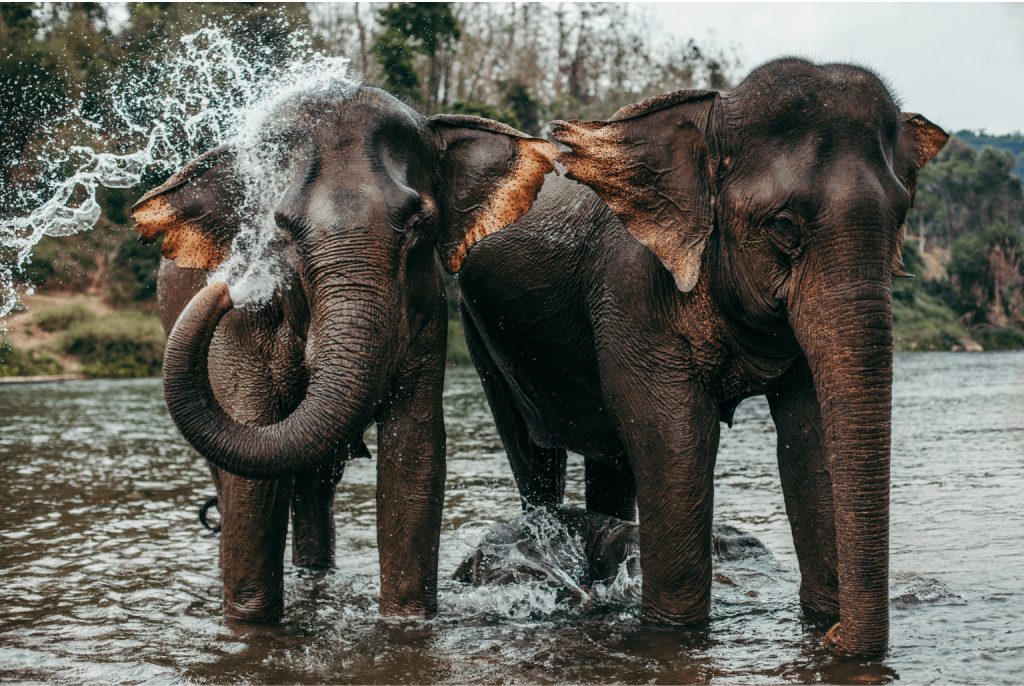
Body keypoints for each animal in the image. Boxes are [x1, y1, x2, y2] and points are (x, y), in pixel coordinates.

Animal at [133, 86, 561, 622]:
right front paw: (250, 623)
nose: (227, 289)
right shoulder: (242, 329)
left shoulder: (425, 312)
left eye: (417, 223)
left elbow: (415, 455)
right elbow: (252, 473)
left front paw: (405, 623)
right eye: (282, 228)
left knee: (315, 484)